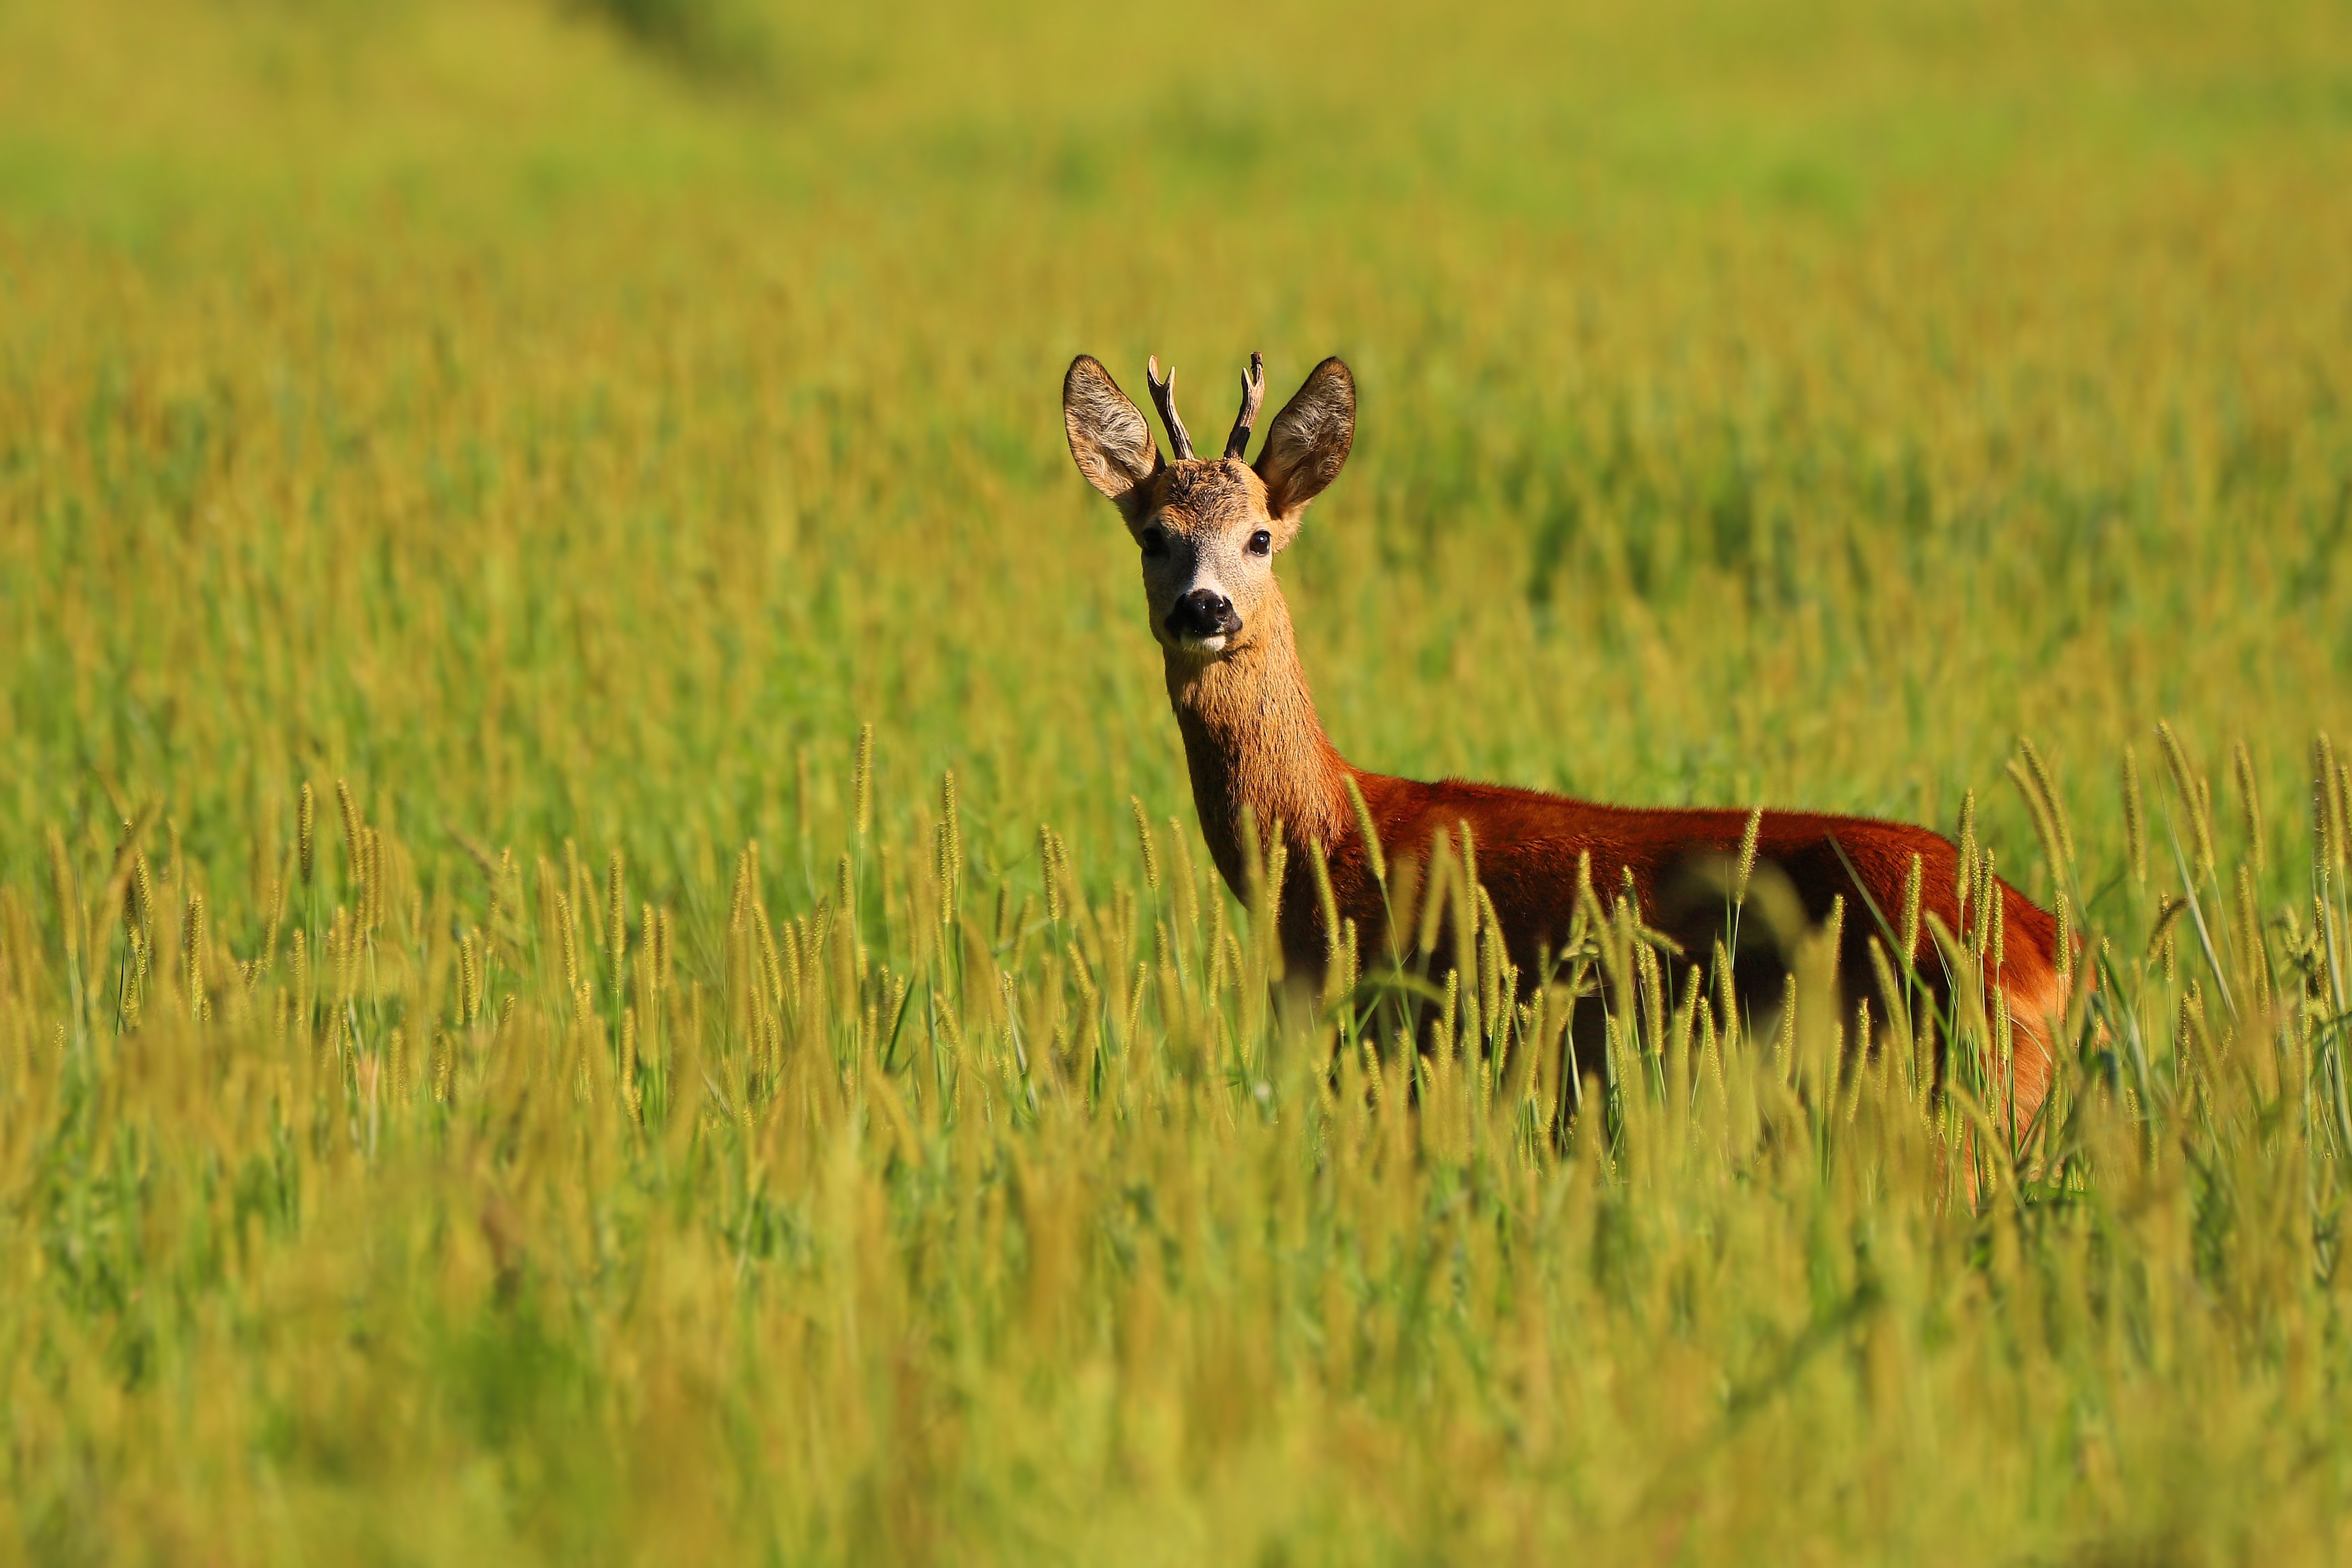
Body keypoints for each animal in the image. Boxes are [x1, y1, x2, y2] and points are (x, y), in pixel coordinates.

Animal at [1058, 350, 2070, 1128]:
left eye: (1261, 536)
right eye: (1154, 536)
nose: (1205, 608)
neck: (1327, 837)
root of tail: (2048, 947)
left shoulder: (1393, 1033)